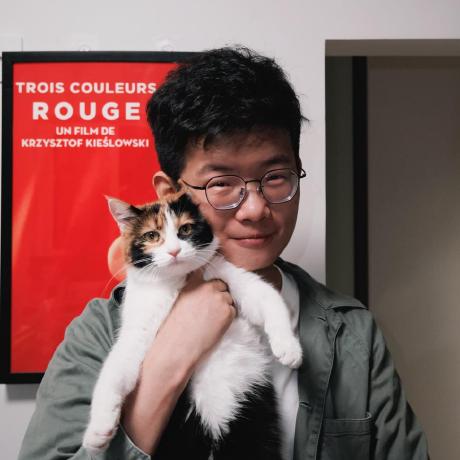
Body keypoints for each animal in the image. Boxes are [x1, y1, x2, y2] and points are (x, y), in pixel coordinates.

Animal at [82, 190, 302, 459]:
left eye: (185, 229)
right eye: (152, 235)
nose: (175, 251)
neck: (177, 282)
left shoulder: (225, 272)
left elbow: (266, 297)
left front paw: (289, 348)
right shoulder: (139, 323)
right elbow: (116, 369)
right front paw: (98, 431)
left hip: (254, 422)